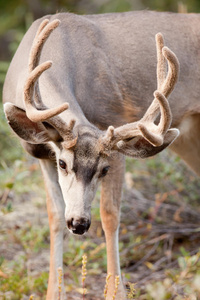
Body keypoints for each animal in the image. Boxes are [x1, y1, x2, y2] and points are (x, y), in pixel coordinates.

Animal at [3, 10, 198, 298]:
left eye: (103, 169)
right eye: (62, 163)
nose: (79, 223)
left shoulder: (115, 135)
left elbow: (110, 215)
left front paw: (115, 291)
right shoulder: (42, 156)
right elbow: (54, 217)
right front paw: (54, 292)